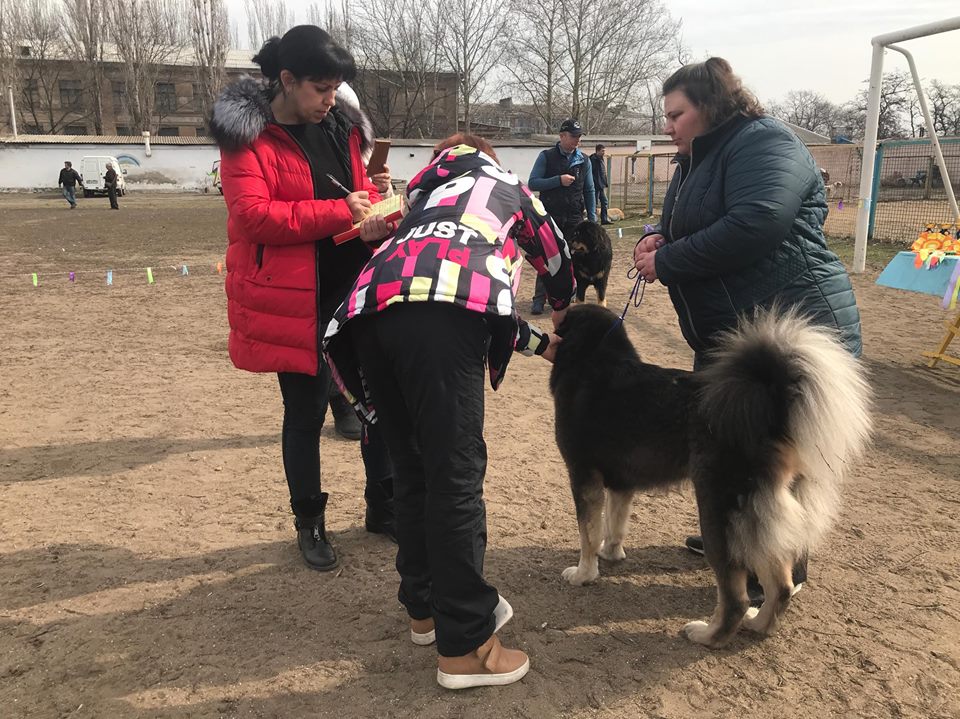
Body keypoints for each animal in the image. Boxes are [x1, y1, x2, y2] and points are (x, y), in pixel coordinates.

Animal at [550, 304, 871, 648]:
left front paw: (584, 574)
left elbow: (588, 534)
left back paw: (707, 635)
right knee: (781, 587)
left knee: (736, 599)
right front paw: (611, 554)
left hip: (719, 517)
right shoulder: (622, 484)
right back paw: (758, 624)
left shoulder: (584, 478)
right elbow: (615, 524)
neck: (595, 359)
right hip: (761, 521)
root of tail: (770, 409)